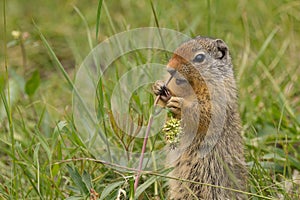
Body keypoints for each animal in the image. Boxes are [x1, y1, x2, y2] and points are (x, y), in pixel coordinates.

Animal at [154, 36, 247, 199]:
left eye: (199, 58)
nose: (169, 69)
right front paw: (160, 88)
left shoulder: (218, 98)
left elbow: (204, 112)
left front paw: (180, 104)